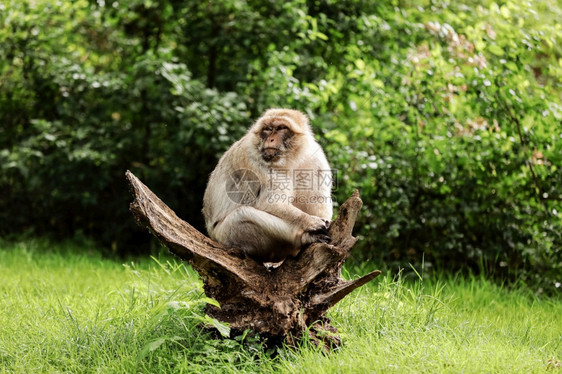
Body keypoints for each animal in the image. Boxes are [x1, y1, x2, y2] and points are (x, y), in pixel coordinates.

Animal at [201, 109, 332, 262]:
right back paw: (303, 237)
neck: (290, 159)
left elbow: (317, 199)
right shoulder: (255, 160)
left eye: (281, 128)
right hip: (225, 235)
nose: (271, 139)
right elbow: (271, 203)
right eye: (268, 129)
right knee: (242, 215)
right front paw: (311, 222)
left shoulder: (316, 158)